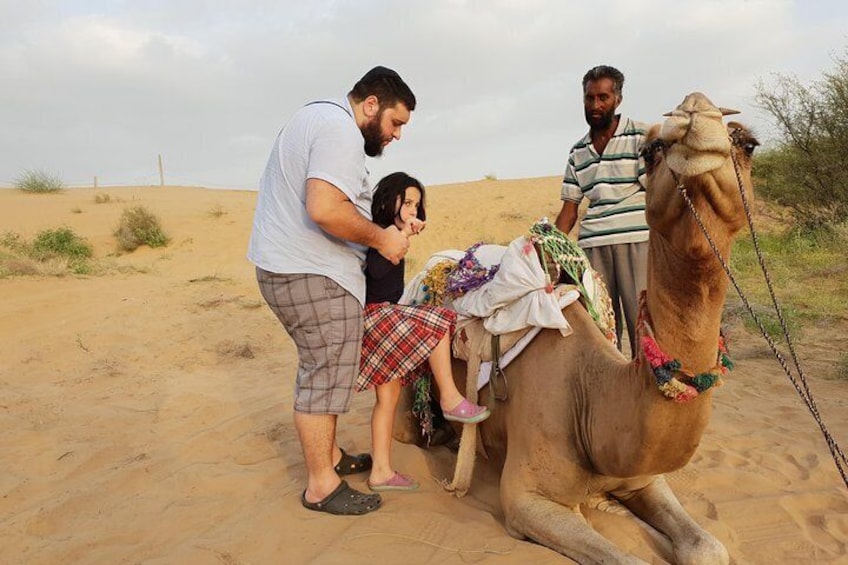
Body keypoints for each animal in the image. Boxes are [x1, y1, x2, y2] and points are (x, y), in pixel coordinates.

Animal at [398, 94, 760, 560]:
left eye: (748, 144)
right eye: (651, 150)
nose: (695, 112)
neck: (593, 398)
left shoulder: (643, 478)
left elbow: (708, 548)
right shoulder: (528, 499)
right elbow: (626, 558)